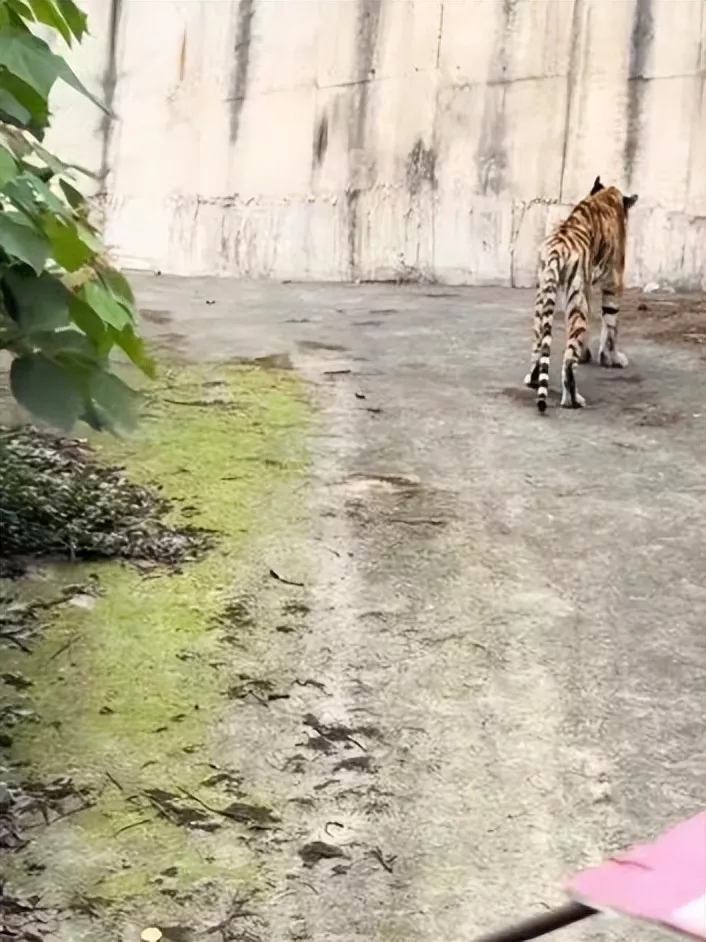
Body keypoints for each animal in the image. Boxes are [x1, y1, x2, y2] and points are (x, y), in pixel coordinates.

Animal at [524, 176, 639, 412]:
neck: (605, 195)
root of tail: (557, 248)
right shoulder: (613, 281)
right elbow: (611, 325)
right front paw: (611, 358)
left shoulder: (585, 287)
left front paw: (587, 355)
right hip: (576, 300)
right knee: (568, 361)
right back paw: (573, 400)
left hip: (543, 298)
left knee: (539, 345)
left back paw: (533, 379)